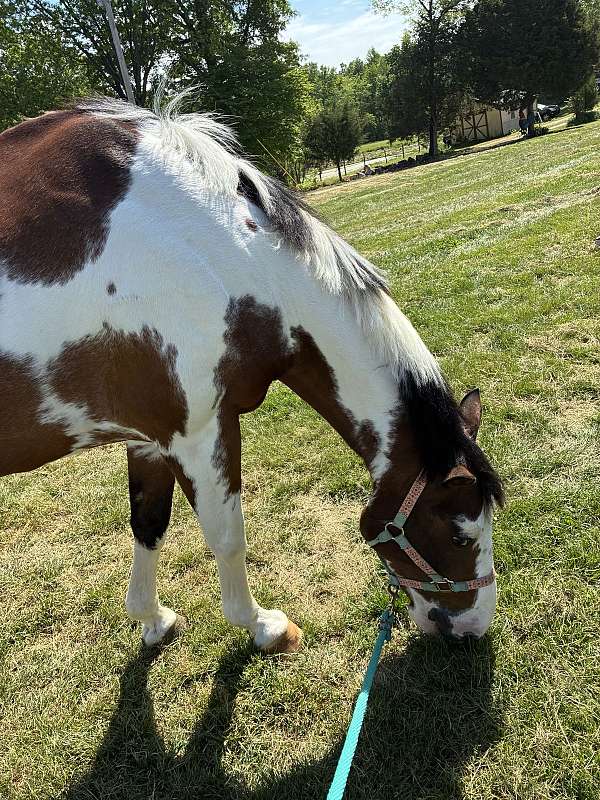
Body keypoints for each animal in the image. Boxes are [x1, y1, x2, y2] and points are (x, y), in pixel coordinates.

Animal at [0, 97, 503, 654]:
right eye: (459, 534)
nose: (472, 627)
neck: (208, 251)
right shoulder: (198, 434)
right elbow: (227, 538)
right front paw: (264, 625)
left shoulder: (149, 437)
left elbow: (149, 523)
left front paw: (152, 618)